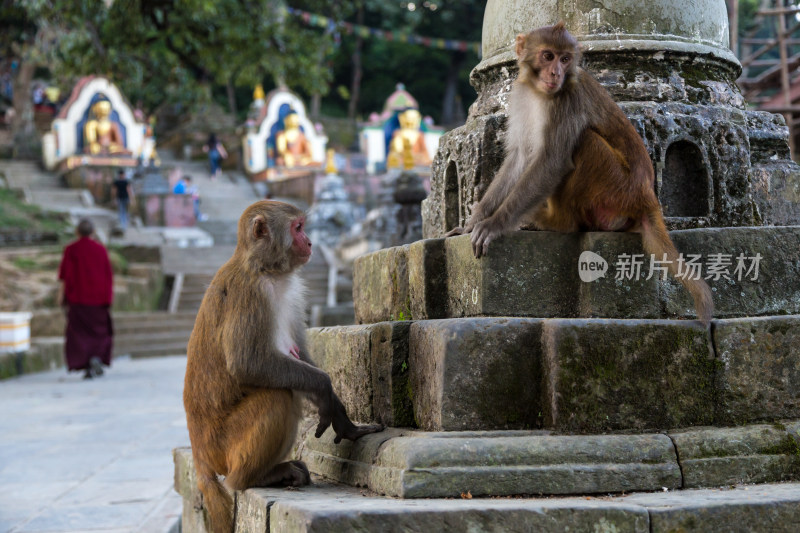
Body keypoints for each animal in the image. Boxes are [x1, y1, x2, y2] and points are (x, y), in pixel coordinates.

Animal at [184, 201, 384, 532]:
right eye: (298, 228)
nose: (311, 243)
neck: (266, 269)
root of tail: (199, 455)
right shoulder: (251, 294)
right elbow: (247, 363)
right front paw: (325, 388)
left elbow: (300, 356)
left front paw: (344, 419)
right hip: (223, 449)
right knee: (277, 395)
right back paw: (254, 478)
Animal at [446, 21, 716, 324]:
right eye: (548, 56)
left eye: (565, 59)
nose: (556, 73)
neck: (539, 93)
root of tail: (647, 198)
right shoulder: (521, 97)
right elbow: (519, 158)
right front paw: (472, 221)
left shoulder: (567, 101)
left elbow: (552, 161)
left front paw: (494, 224)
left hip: (616, 187)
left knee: (585, 141)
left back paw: (554, 221)